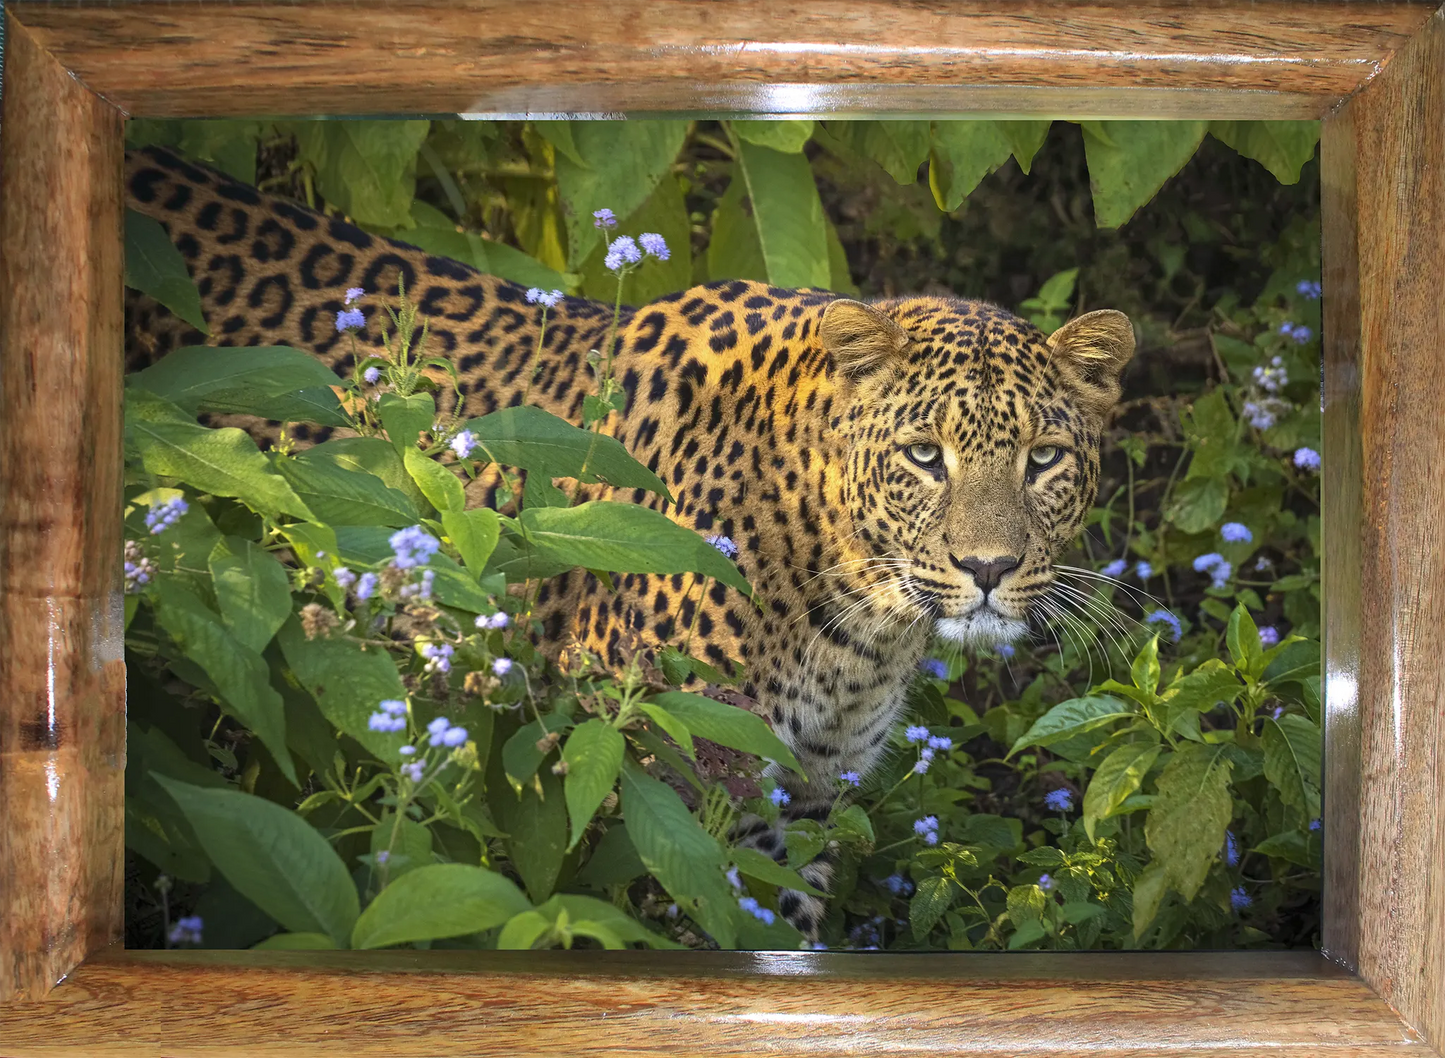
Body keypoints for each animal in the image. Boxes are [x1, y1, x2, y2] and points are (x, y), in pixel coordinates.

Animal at [124, 145, 1136, 941]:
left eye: (1044, 458)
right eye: (925, 456)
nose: (988, 569)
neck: (857, 622)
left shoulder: (805, 805)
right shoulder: (670, 789)